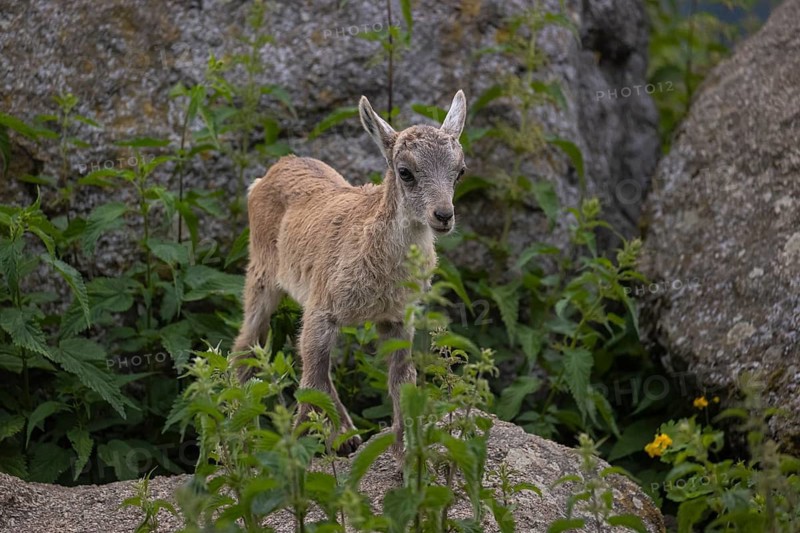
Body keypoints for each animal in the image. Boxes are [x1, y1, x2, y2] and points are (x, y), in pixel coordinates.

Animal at [233, 90, 468, 454]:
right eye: (405, 172)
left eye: (460, 171)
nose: (443, 215)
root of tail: (265, 177)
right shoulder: (320, 310)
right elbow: (312, 378)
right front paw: (305, 443)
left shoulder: (397, 318)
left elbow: (402, 380)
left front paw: (405, 450)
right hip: (261, 276)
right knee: (246, 345)